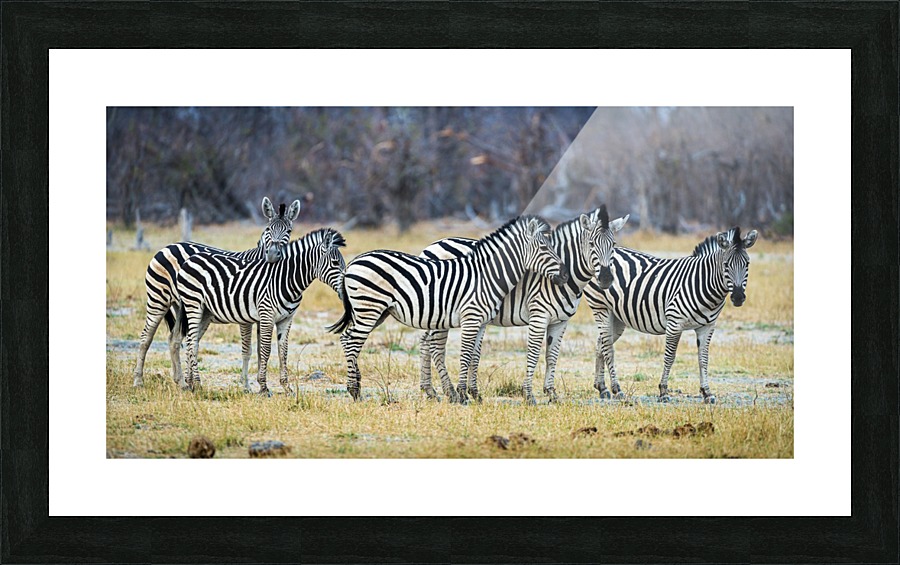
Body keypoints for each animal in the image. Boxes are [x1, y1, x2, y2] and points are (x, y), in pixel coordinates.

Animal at [132, 196, 301, 388]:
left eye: (289, 230)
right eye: (268, 229)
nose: (272, 255)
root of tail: (167, 247)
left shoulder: (261, 314)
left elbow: (260, 350)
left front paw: (260, 382)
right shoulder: (246, 315)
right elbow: (248, 349)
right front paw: (247, 385)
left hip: (182, 307)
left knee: (174, 339)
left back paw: (181, 382)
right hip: (158, 299)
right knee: (146, 338)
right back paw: (138, 380)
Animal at [174, 227, 346, 394]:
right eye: (335, 263)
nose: (344, 291)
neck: (286, 280)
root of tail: (190, 259)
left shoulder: (286, 320)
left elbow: (283, 351)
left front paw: (286, 387)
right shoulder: (266, 315)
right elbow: (265, 350)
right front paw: (263, 387)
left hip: (205, 312)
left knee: (193, 342)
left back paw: (191, 383)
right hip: (193, 304)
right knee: (191, 342)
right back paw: (197, 384)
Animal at [327, 215, 566, 403]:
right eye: (545, 248)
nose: (564, 275)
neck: (486, 276)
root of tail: (355, 261)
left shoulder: (480, 322)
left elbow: (474, 356)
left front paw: (470, 394)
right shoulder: (471, 317)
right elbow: (466, 354)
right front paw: (462, 395)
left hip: (375, 311)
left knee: (347, 339)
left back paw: (357, 385)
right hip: (369, 308)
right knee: (352, 341)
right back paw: (355, 391)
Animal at [418, 206, 630, 405]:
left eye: (613, 245)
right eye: (592, 244)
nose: (606, 279)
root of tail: (432, 245)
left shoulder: (560, 321)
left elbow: (551, 355)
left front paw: (551, 394)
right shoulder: (539, 315)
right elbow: (534, 353)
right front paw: (529, 395)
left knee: (425, 342)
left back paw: (430, 390)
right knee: (436, 347)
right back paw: (450, 392)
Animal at [583, 226, 758, 404]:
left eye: (747, 264)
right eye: (726, 265)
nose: (738, 297)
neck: (703, 282)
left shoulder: (707, 326)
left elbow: (703, 358)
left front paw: (707, 393)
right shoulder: (675, 322)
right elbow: (670, 357)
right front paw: (663, 392)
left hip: (617, 316)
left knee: (601, 344)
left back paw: (602, 388)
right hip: (601, 307)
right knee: (608, 348)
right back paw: (617, 389)